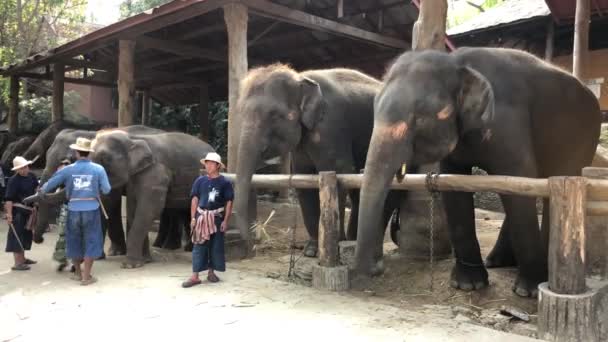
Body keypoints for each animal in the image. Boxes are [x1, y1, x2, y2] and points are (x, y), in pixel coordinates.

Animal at [90, 130, 214, 266]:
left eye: (105, 158)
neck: (133, 139)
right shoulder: (135, 177)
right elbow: (134, 210)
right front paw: (144, 261)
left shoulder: (156, 173)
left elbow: (149, 210)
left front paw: (130, 265)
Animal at [233, 63, 400, 256]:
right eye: (241, 113)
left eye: (274, 114)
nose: (255, 242)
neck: (300, 77)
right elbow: (303, 180)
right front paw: (311, 251)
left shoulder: (330, 124)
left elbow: (340, 171)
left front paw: (335, 245)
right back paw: (353, 240)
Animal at [354, 46, 600, 298]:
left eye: (420, 118)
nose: (375, 269)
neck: (456, 62)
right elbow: (454, 187)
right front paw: (468, 285)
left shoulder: (508, 122)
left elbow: (520, 181)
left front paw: (528, 290)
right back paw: (497, 261)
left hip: (585, 135)